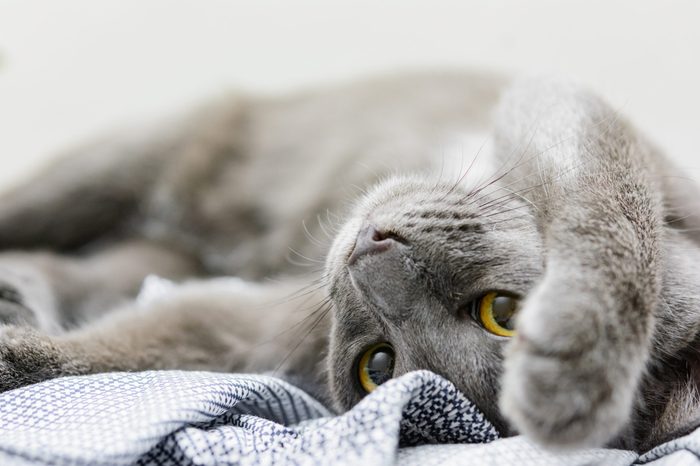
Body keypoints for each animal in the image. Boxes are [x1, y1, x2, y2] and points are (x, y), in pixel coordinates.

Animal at [1, 71, 700, 454]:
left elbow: (161, 336)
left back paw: (17, 293)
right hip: (133, 156)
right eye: (504, 312)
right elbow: (609, 205)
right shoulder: (567, 107)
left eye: (378, 366)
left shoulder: (277, 325)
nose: (369, 250)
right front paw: (578, 363)